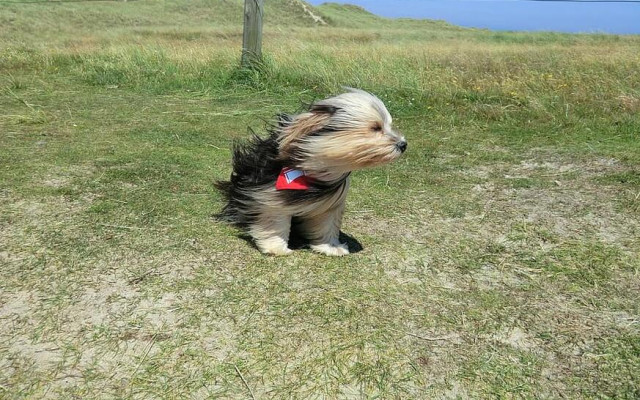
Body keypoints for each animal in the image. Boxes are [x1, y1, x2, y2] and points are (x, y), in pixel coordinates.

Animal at [214, 88, 404, 256]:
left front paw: (330, 247)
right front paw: (276, 247)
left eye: (388, 126)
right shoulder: (269, 195)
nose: (403, 144)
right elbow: (275, 220)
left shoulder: (331, 203)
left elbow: (327, 223)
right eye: (376, 128)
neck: (315, 169)